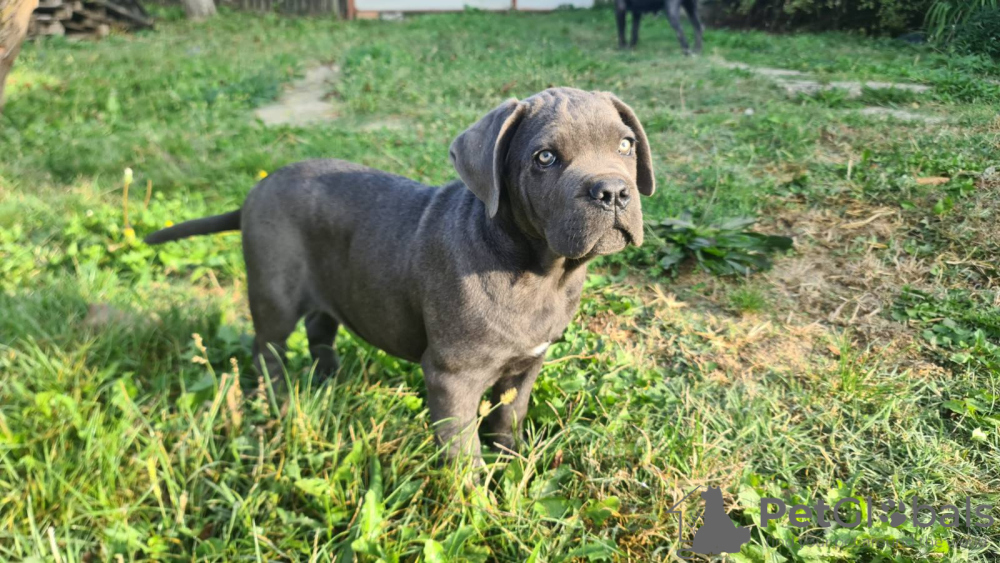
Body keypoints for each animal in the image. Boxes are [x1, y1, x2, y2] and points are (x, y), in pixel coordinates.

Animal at [145, 87, 654, 465]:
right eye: (545, 158)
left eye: (625, 145)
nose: (612, 191)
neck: (538, 271)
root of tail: (256, 191)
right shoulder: (452, 376)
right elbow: (462, 449)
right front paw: (475, 504)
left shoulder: (527, 364)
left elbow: (509, 416)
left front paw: (513, 464)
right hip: (274, 297)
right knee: (267, 350)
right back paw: (279, 401)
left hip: (330, 286)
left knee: (320, 330)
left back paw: (328, 383)